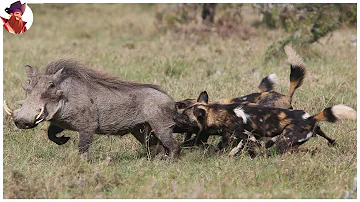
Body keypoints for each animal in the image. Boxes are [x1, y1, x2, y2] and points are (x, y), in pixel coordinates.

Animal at [173, 91, 356, 156]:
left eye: (183, 118)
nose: (173, 120)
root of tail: (310, 118)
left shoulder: (248, 138)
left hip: (284, 143)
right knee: (327, 140)